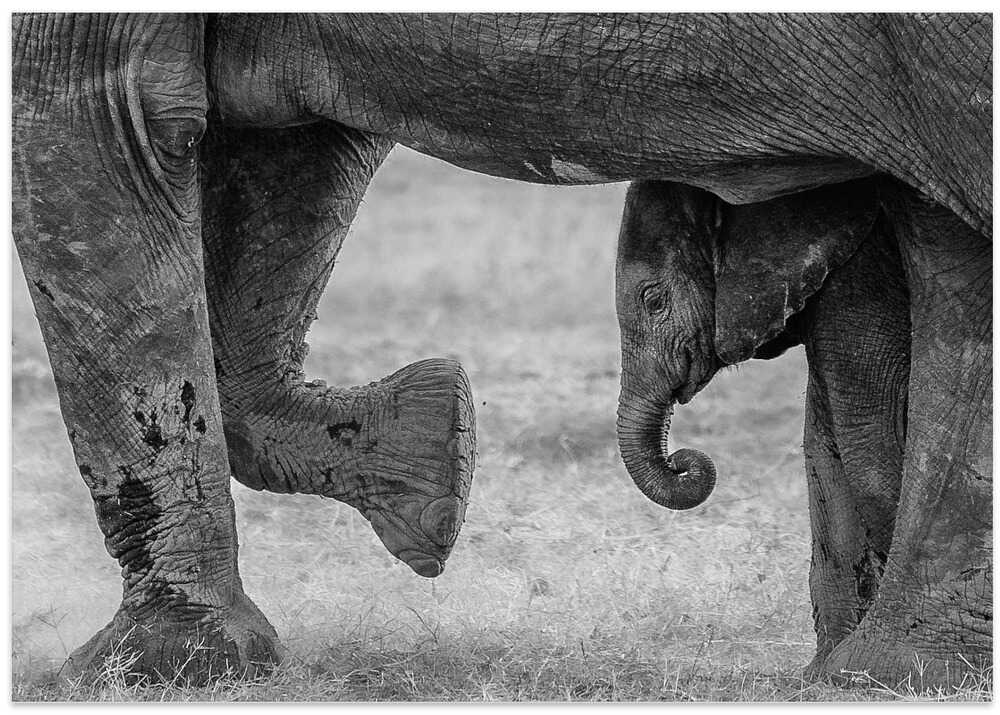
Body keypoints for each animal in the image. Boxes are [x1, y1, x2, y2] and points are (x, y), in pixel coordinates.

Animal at [614, 176, 991, 687]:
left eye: (654, 301)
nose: (681, 461)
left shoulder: (855, 275)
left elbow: (867, 432)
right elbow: (827, 430)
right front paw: (821, 672)